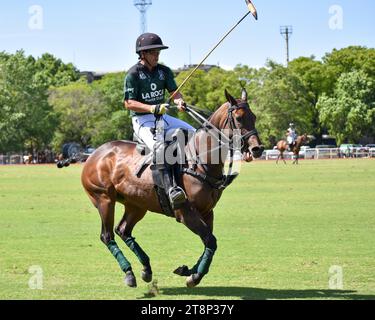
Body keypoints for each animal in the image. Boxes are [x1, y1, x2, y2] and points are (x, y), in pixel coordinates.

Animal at [81, 89, 264, 288]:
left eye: (254, 116)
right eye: (238, 118)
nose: (258, 149)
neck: (200, 161)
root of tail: (93, 155)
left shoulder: (207, 212)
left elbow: (209, 242)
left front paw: (188, 270)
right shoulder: (185, 213)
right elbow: (210, 240)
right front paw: (195, 276)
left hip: (136, 205)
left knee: (122, 230)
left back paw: (146, 269)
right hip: (104, 199)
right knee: (107, 236)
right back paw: (129, 273)